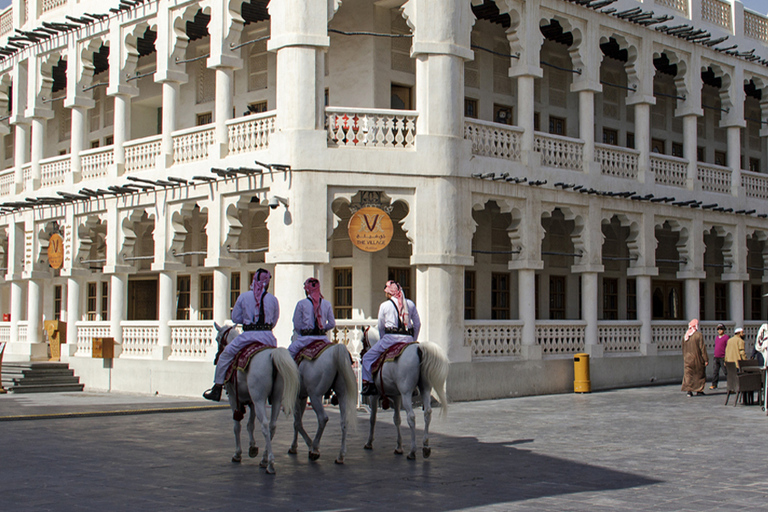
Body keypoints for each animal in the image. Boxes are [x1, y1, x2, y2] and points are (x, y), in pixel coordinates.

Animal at [214, 322, 302, 474]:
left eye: (217, 339)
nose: (216, 358)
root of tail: (272, 355)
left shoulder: (234, 398)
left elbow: (237, 426)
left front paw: (238, 453)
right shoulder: (252, 401)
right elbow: (250, 425)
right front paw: (252, 447)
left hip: (260, 398)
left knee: (265, 425)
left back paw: (270, 463)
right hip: (276, 398)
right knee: (272, 425)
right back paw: (264, 459)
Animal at [362, 326, 450, 462]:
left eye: (362, 341)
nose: (361, 356)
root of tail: (419, 349)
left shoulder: (374, 396)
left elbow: (373, 418)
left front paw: (369, 442)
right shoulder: (396, 396)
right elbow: (397, 419)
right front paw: (398, 446)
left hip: (406, 393)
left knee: (411, 417)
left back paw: (412, 451)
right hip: (424, 388)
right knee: (427, 412)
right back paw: (425, 446)